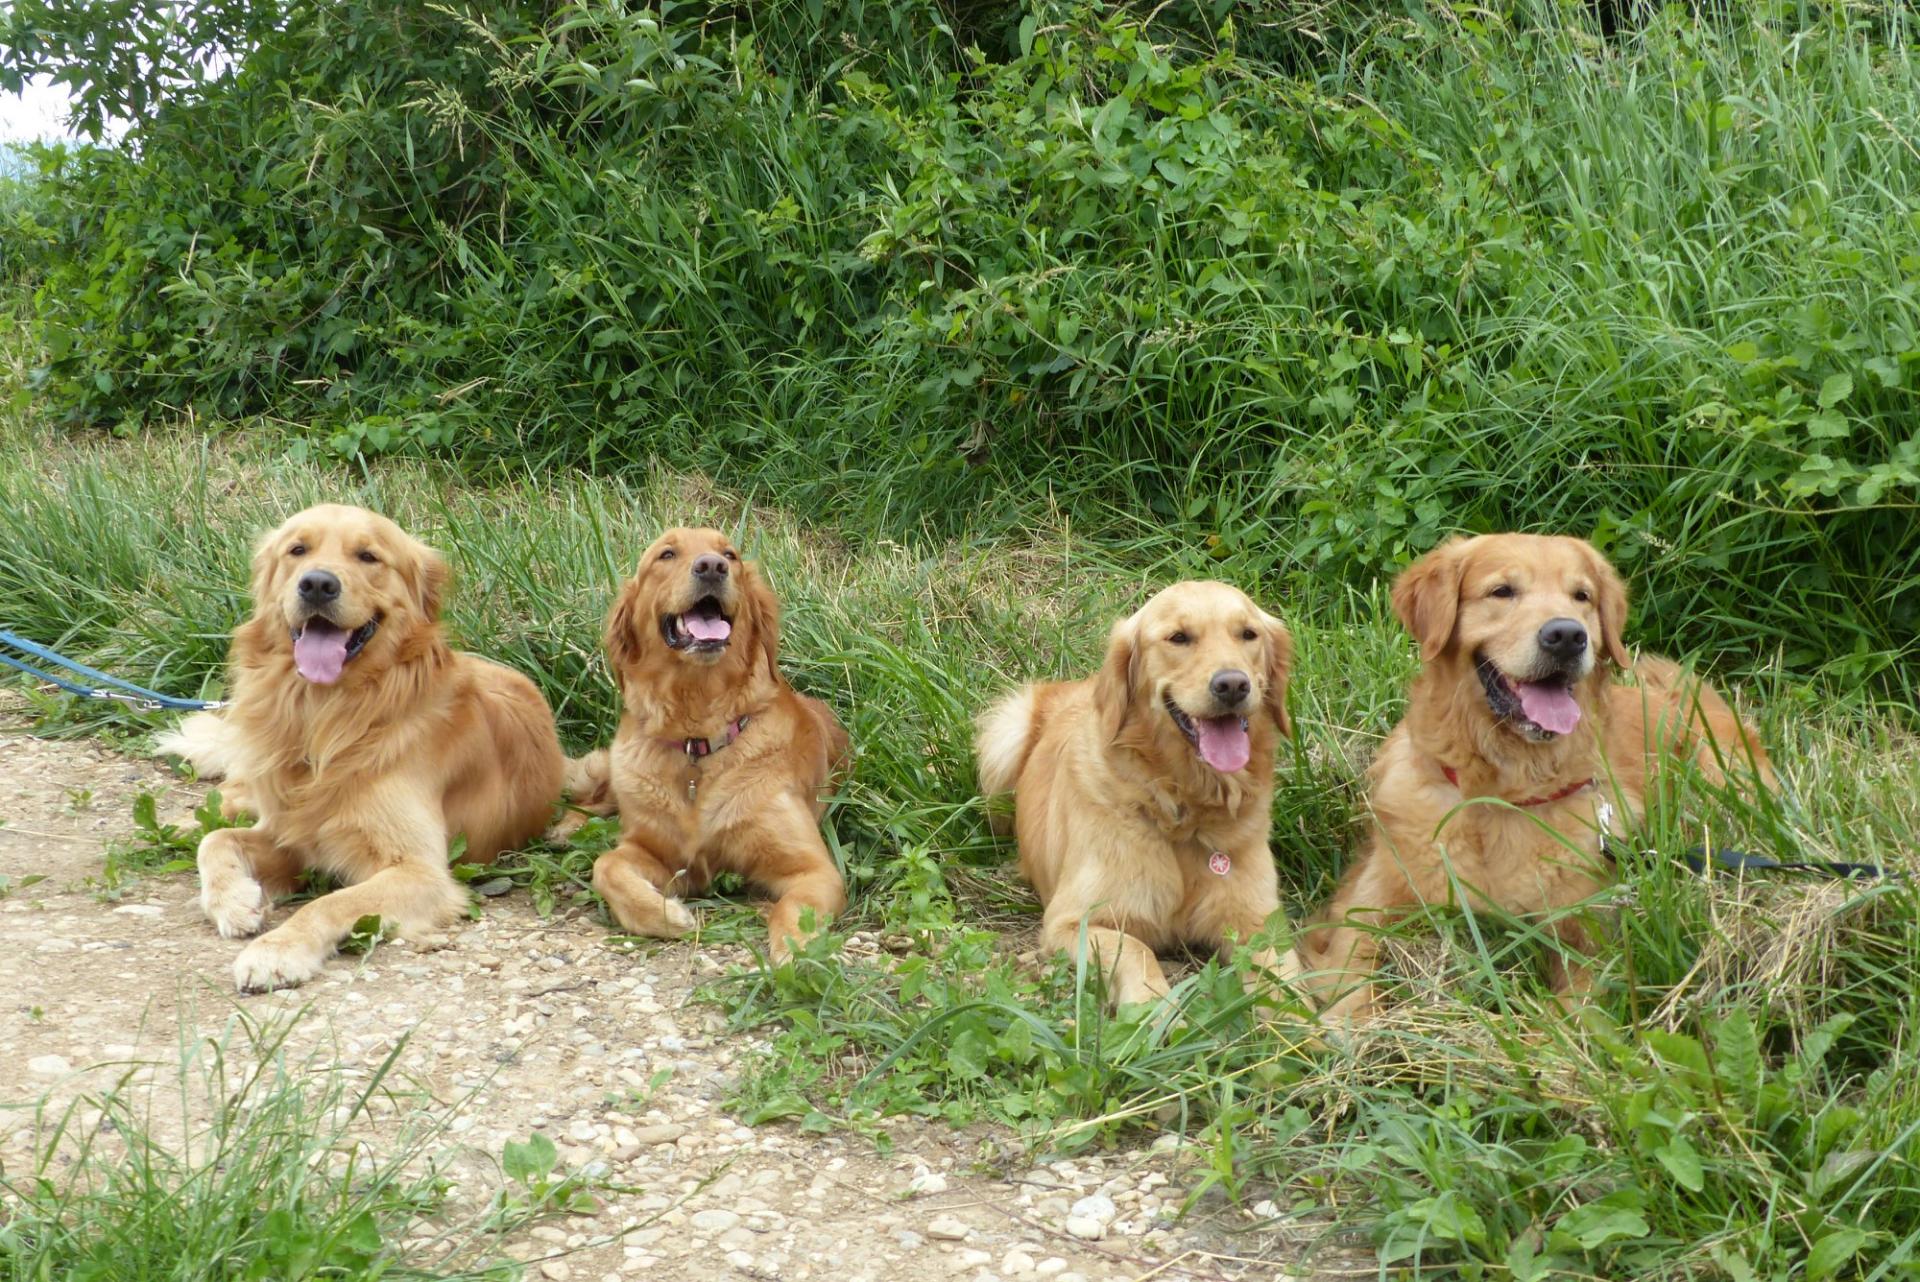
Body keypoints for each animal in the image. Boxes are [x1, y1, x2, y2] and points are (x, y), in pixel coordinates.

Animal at [161, 498, 564, 990]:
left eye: (368, 556)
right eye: (298, 549)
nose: (317, 583)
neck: (330, 719)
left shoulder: (419, 870)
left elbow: (331, 902)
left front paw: (278, 948)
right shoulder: (292, 834)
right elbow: (217, 840)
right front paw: (234, 900)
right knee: (227, 801)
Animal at [572, 525, 852, 955]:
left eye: (730, 555)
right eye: (667, 554)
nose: (711, 567)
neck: (696, 741)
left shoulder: (813, 867)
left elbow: (793, 908)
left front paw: (796, 953)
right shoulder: (657, 853)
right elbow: (605, 865)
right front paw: (663, 915)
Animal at [975, 579, 1305, 1013]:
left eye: (1248, 634)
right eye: (1178, 637)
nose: (1233, 684)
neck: (1182, 810)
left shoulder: (1261, 923)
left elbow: (1285, 981)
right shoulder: (1073, 921)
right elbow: (1136, 950)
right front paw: (1154, 1011)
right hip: (1004, 741)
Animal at [1290, 537, 1766, 1028]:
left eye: (1581, 596)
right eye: (1502, 591)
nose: (1567, 636)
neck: (1505, 794)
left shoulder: (1593, 941)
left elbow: (1571, 1015)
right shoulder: (1365, 902)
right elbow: (1350, 969)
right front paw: (1346, 1026)